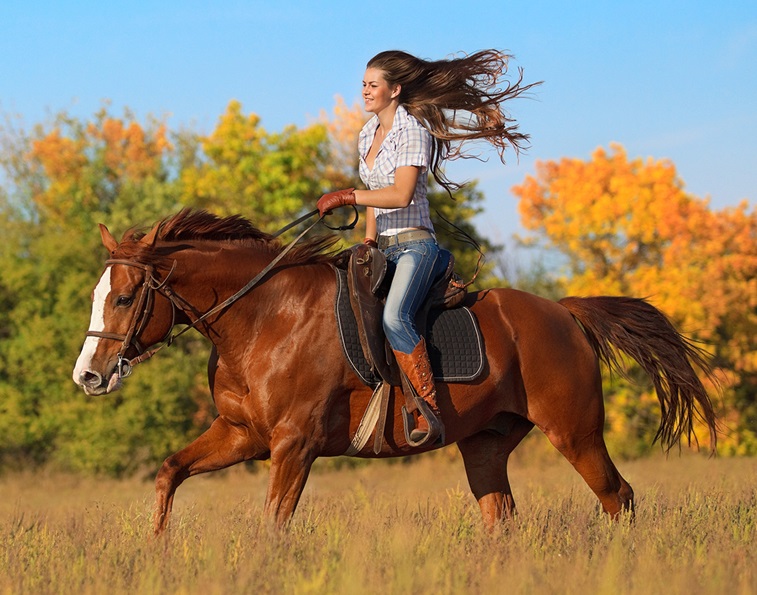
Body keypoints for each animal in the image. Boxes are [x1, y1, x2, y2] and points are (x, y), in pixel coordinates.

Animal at [72, 209, 718, 533]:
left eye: (125, 298)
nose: (88, 377)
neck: (263, 319)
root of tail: (564, 311)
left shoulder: (294, 444)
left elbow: (273, 524)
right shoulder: (242, 435)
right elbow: (169, 473)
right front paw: (156, 552)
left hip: (576, 433)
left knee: (619, 498)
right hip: (486, 446)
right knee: (501, 518)